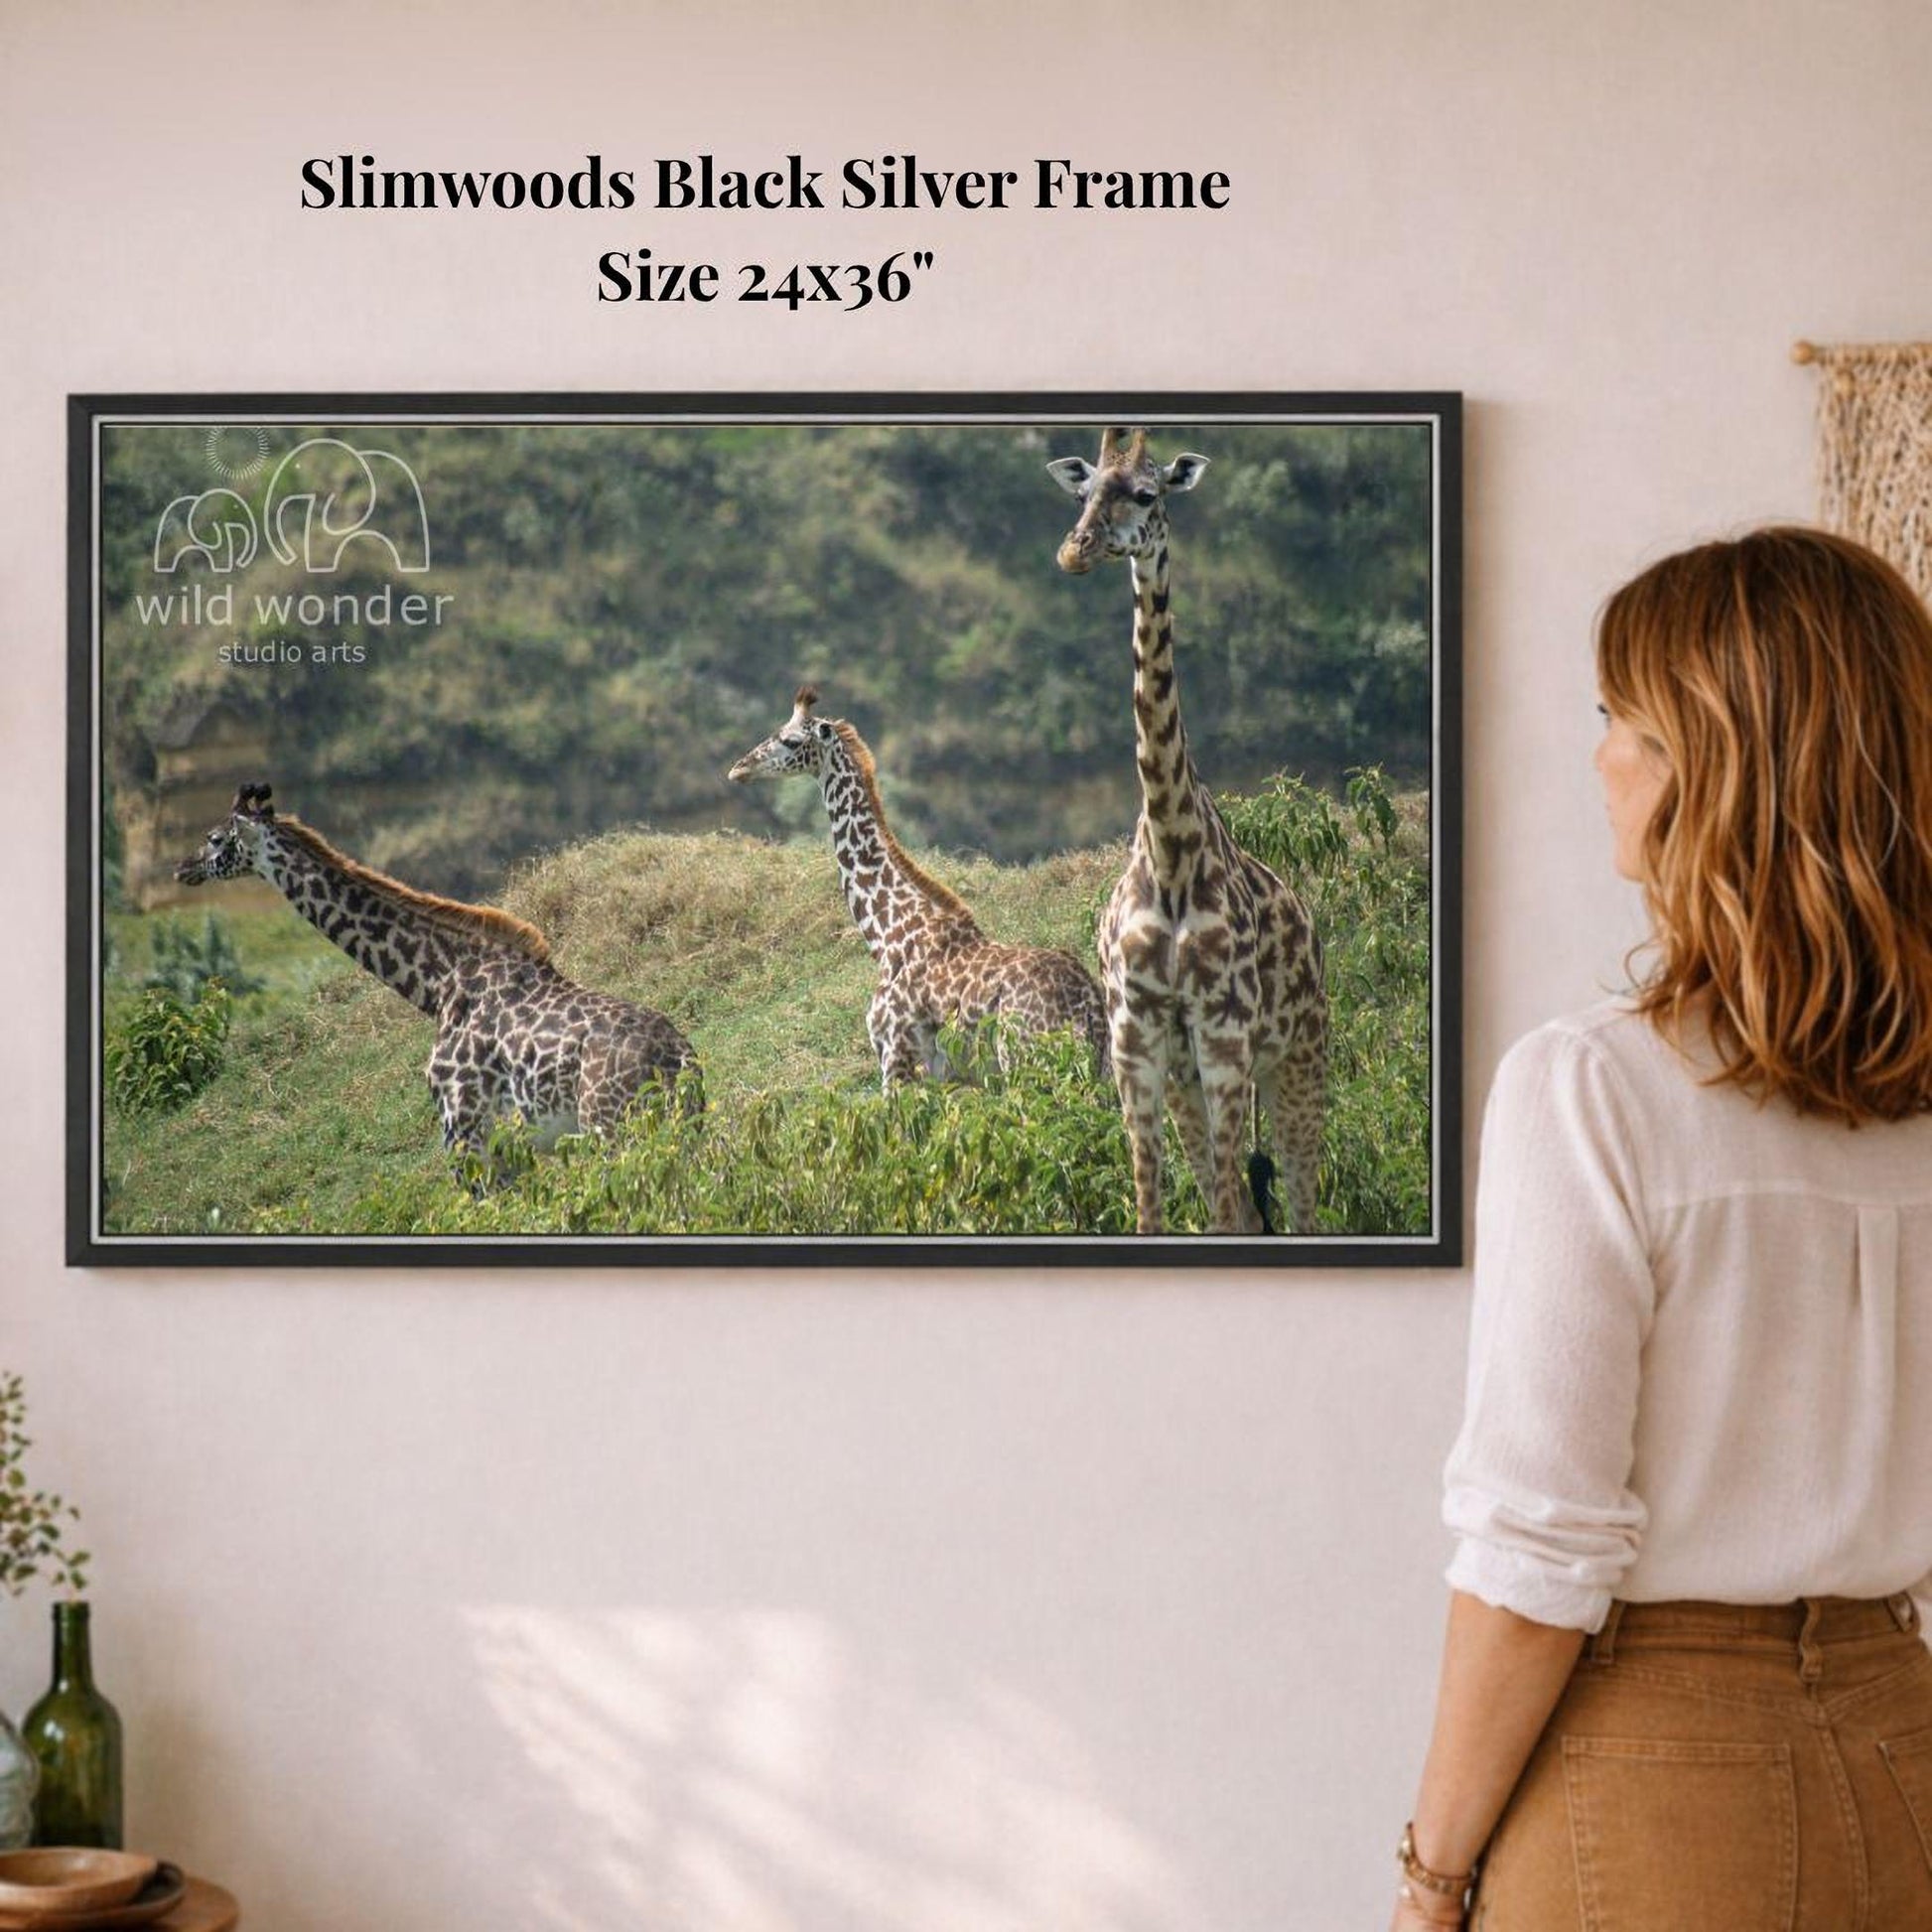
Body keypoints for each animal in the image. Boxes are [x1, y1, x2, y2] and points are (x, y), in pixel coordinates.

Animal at [174, 783, 699, 1162]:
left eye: (215, 839)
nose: (181, 867)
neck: (439, 982)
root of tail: (676, 1060)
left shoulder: (464, 1133)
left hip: (611, 1129)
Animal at [727, 687, 1110, 1087]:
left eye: (790, 740)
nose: (739, 768)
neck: (889, 933)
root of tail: (1089, 1006)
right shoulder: (945, 1076)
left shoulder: (896, 1056)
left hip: (1025, 1062)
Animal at [1047, 427, 1327, 1234]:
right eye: (1084, 491)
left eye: (1146, 494)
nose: (1075, 551)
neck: (1171, 855)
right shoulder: (1136, 1037)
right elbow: (1153, 1203)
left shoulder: (1224, 1036)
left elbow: (1231, 1205)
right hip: (1190, 1075)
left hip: (1298, 1057)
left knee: (1297, 1200)